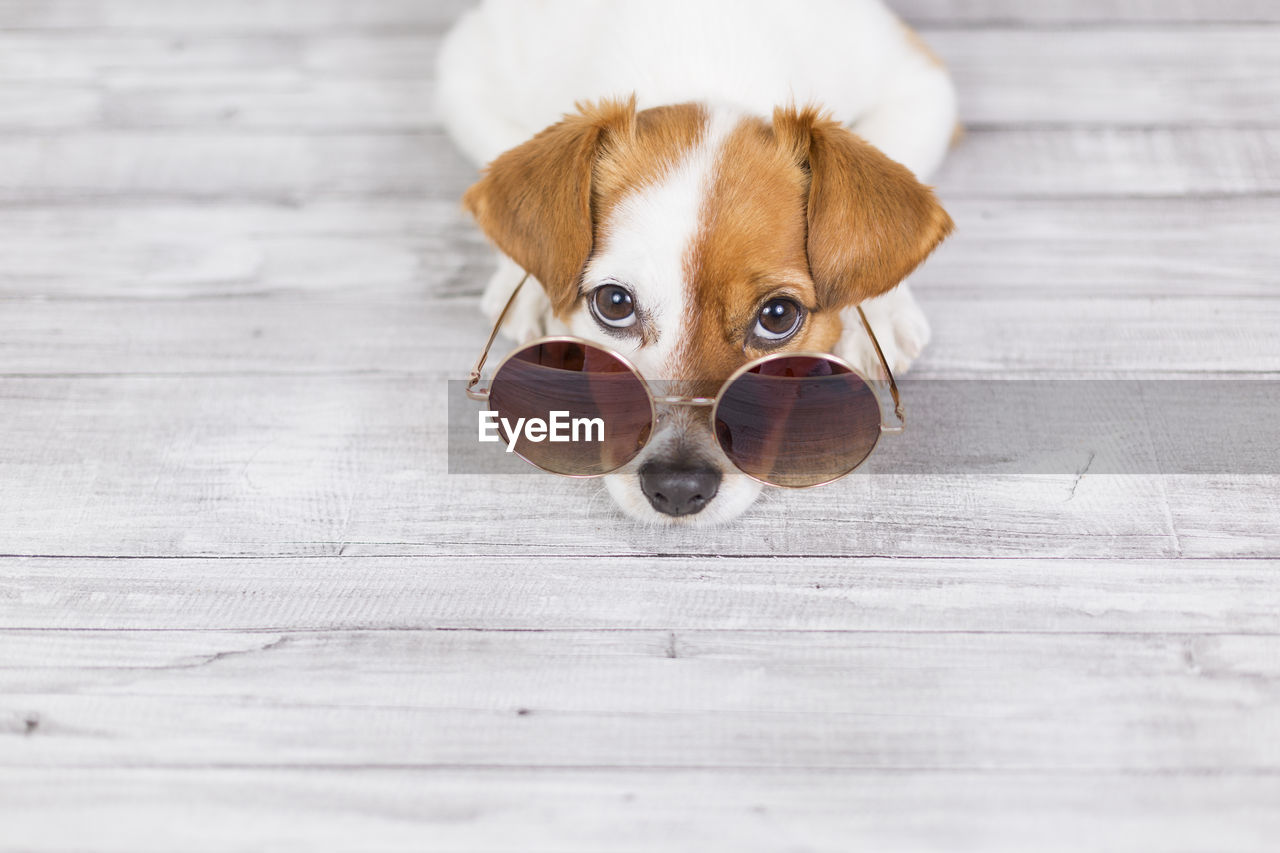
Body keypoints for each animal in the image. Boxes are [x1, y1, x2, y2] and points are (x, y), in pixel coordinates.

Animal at [437, 0, 952, 522]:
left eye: (778, 315)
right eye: (614, 303)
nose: (678, 486)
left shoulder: (919, 83)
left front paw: (878, 312)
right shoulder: (466, 70)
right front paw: (528, 286)